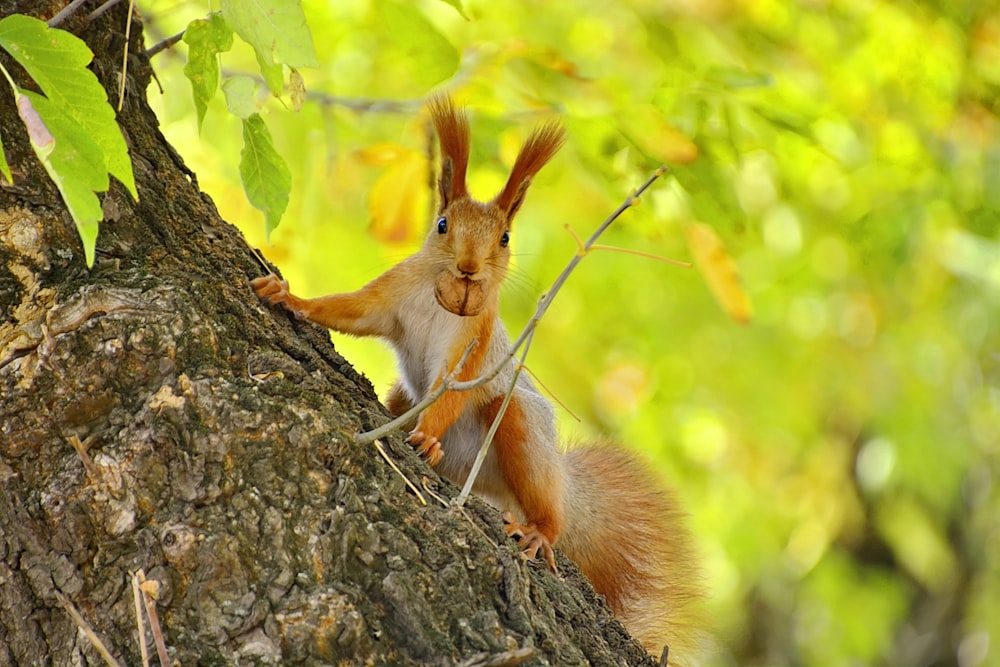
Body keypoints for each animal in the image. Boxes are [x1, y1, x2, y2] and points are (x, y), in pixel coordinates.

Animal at [252, 95, 704, 664]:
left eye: (505, 238)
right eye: (442, 224)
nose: (469, 267)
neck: (447, 296)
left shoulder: (474, 343)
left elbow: (450, 390)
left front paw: (426, 436)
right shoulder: (390, 294)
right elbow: (350, 310)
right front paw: (288, 296)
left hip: (518, 426)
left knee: (540, 489)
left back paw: (537, 530)